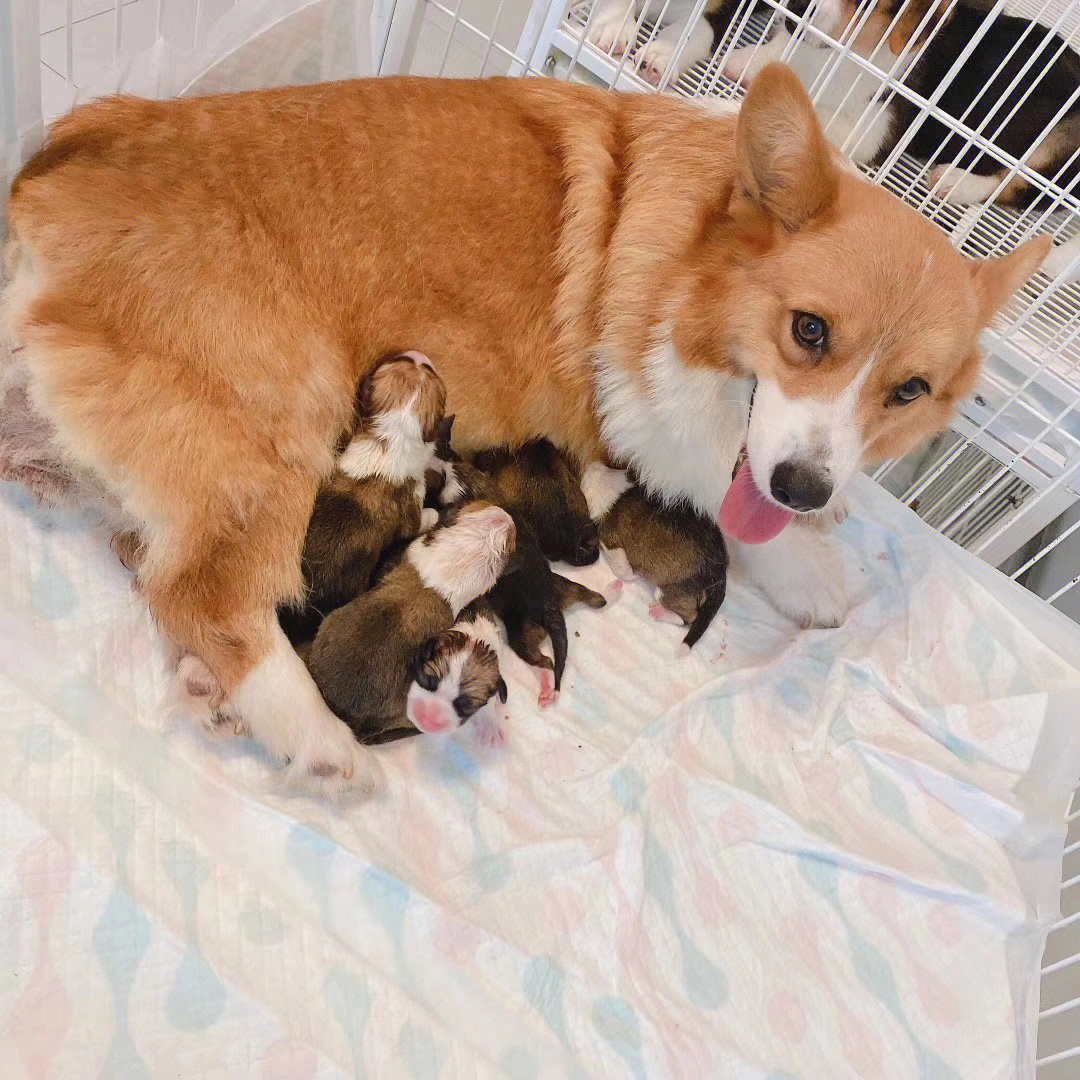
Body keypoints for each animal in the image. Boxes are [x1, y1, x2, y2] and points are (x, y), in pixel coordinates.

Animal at [282, 352, 447, 639]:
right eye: (430, 370)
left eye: (408, 362)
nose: (417, 355)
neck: (390, 439)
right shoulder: (413, 509)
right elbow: (424, 516)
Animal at [583, 464, 725, 648]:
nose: (591, 467)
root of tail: (720, 575)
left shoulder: (611, 543)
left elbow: (623, 571)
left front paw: (631, 574)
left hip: (670, 592)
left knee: (687, 618)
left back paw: (659, 612)